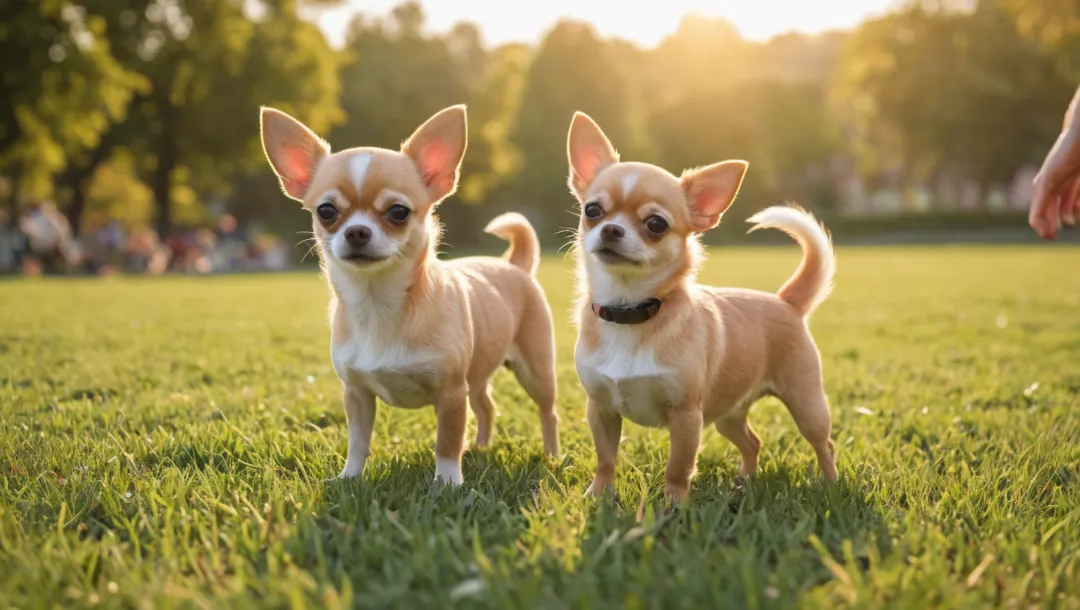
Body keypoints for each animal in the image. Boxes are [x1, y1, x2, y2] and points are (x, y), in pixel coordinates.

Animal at [260, 105, 561, 485]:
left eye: (398, 212)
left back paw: (551, 456)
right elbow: (358, 440)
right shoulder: (356, 393)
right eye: (326, 211)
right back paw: (479, 447)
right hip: (477, 376)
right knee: (487, 406)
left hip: (535, 372)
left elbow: (446, 442)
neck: (378, 302)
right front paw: (348, 478)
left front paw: (447, 484)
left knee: (548, 412)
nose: (357, 231)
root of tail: (514, 265)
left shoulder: (451, 393)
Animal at [570, 111, 838, 500]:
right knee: (752, 442)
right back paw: (745, 481)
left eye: (656, 224)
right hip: (728, 413)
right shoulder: (600, 409)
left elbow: (677, 467)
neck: (630, 310)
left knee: (824, 444)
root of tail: (785, 301)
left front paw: (673, 505)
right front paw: (599, 495)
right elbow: (605, 458)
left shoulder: (686, 416)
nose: (611, 230)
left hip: (806, 405)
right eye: (592, 210)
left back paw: (832, 486)